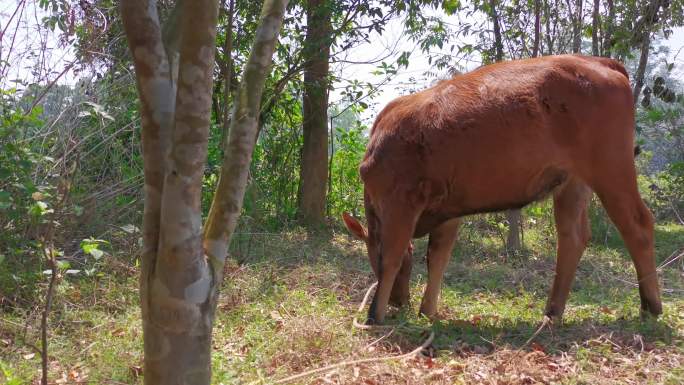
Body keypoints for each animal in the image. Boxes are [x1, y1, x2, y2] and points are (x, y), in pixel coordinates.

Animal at [342, 54, 664, 324]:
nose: (398, 302)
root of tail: (599, 61)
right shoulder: (448, 208)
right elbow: (438, 258)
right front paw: (428, 310)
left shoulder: (400, 200)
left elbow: (391, 256)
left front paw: (375, 314)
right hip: (573, 182)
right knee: (572, 237)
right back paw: (553, 310)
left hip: (610, 168)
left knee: (638, 225)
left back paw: (651, 305)